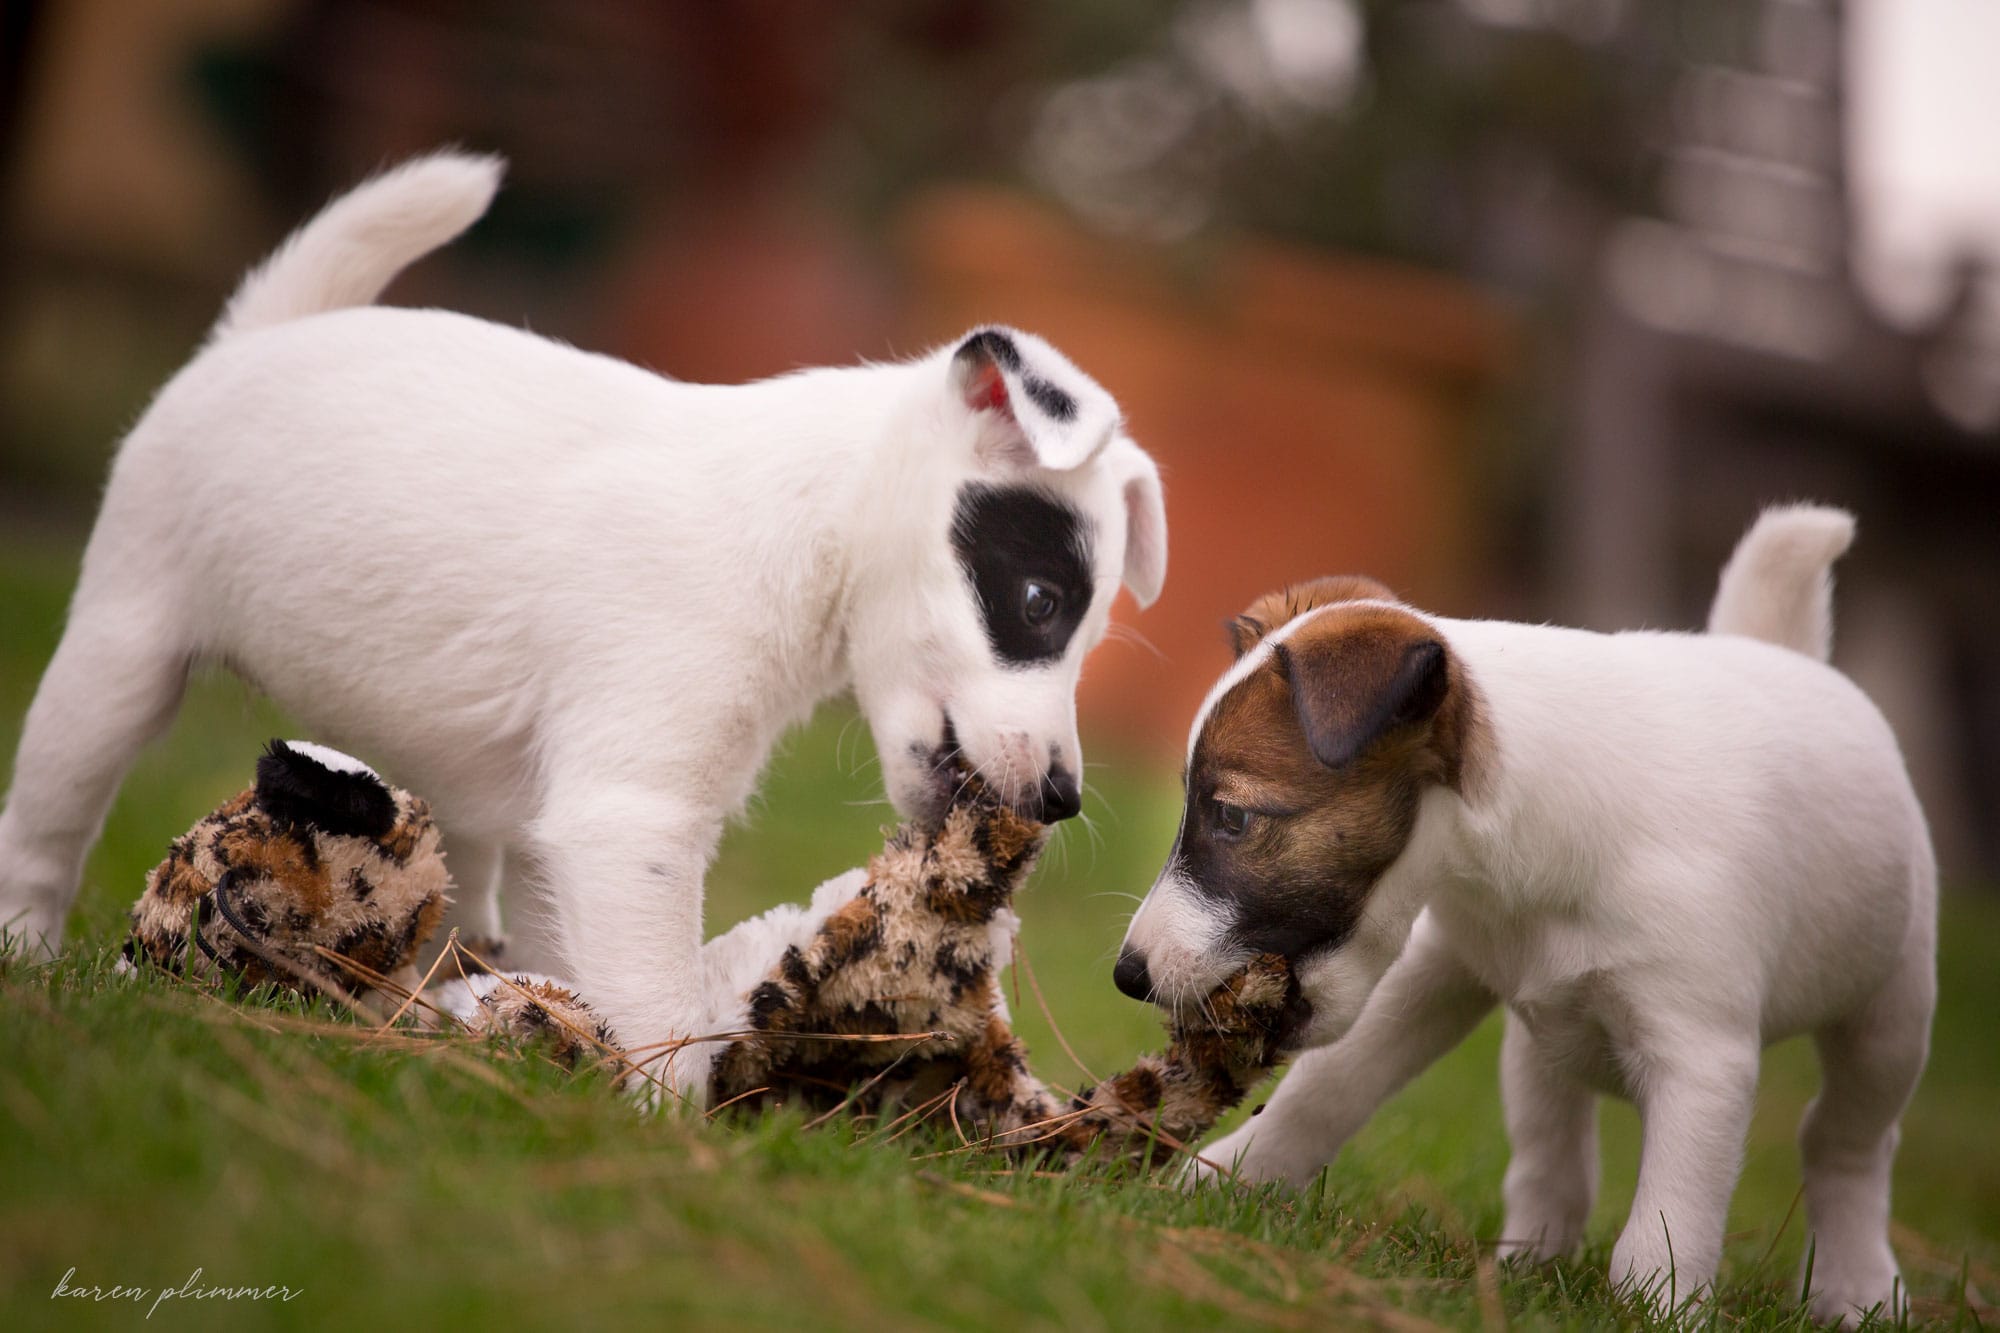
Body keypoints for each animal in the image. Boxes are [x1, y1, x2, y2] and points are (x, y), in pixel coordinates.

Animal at [0, 153, 1168, 1096]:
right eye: (1038, 602)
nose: (1061, 799)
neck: (806, 517)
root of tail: (260, 338)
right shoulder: (630, 820)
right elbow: (660, 1015)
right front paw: (677, 1130)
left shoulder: (568, 839)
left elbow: (575, 979)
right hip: (122, 647)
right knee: (46, 827)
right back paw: (29, 954)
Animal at [1120, 506, 1928, 1320]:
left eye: (1230, 815)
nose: (1128, 974)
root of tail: (1781, 651)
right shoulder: (1433, 968)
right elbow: (1325, 1088)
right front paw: (1227, 1177)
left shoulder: (1701, 1057)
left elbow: (1669, 1218)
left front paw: (1657, 1310)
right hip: (1543, 1045)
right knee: (1552, 1156)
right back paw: (1529, 1267)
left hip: (1888, 1022)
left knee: (1847, 1146)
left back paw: (1858, 1289)